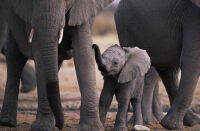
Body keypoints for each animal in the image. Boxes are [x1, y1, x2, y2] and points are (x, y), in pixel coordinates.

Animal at [0, 0, 112, 130]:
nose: (60, 126)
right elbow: (39, 51)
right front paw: (43, 128)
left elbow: (84, 51)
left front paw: (92, 128)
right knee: (15, 55)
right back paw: (7, 122)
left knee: (55, 60)